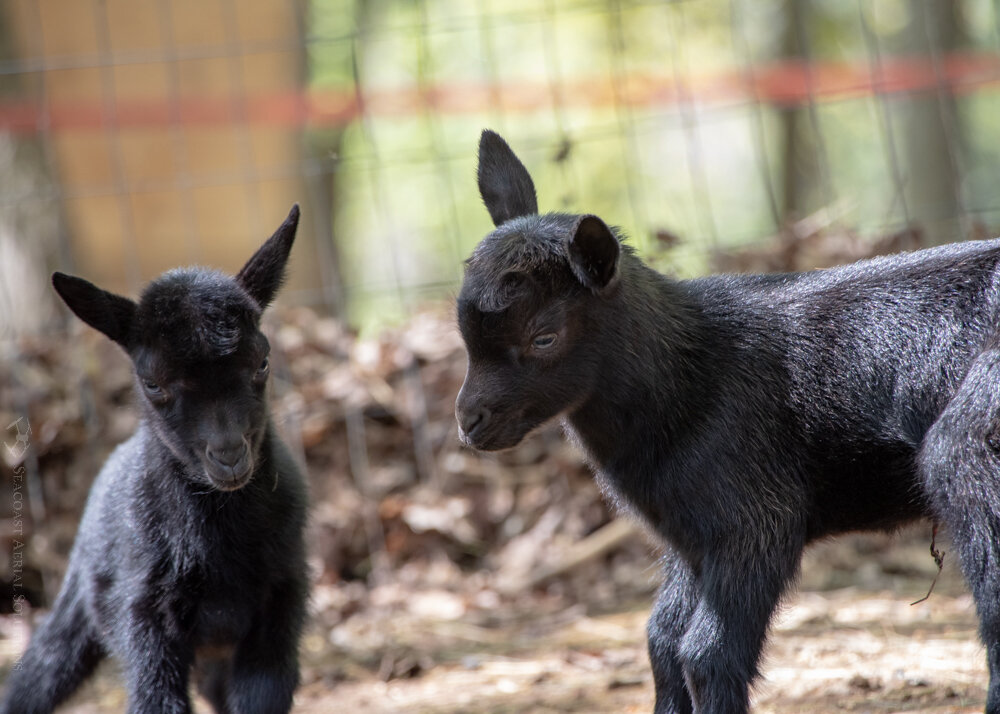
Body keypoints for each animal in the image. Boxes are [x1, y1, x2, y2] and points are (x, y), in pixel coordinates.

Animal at [1, 206, 308, 714]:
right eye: (153, 384)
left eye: (262, 362)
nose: (229, 455)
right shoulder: (144, 612)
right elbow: (155, 699)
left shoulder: (279, 602)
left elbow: (262, 694)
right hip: (83, 603)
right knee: (38, 675)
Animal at [456, 130, 1000, 713]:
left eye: (544, 337)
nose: (469, 421)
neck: (691, 376)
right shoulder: (692, 533)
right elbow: (662, 640)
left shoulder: (756, 518)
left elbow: (705, 653)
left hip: (973, 437)